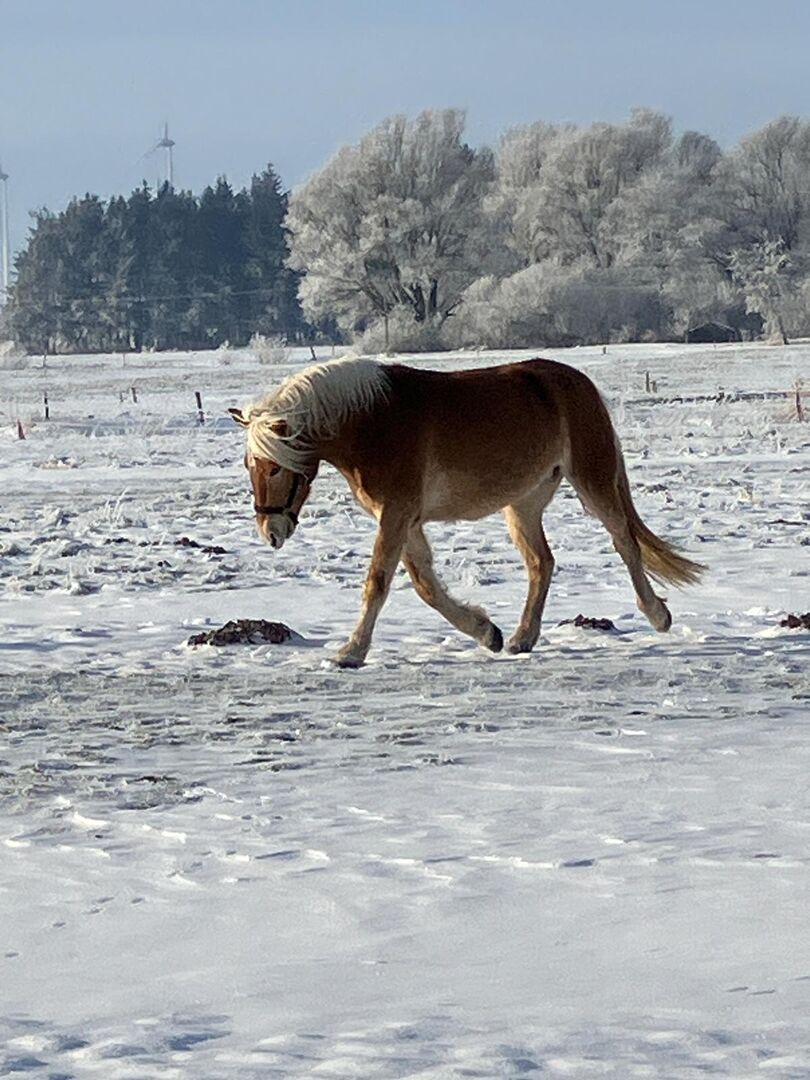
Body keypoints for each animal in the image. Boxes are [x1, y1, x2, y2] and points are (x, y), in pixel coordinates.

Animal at [229, 356, 704, 668]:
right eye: (250, 465)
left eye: (275, 465)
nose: (270, 531)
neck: (373, 422)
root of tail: (575, 380)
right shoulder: (404, 520)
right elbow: (425, 585)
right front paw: (486, 632)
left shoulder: (396, 514)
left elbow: (378, 582)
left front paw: (351, 652)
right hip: (524, 503)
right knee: (542, 563)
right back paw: (521, 638)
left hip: (592, 481)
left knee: (624, 542)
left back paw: (657, 615)